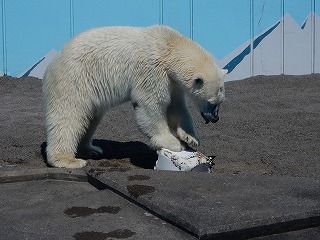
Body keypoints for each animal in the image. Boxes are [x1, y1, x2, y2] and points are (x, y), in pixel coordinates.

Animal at [43, 25, 228, 168]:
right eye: (211, 102)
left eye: (220, 101)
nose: (215, 118)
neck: (168, 46)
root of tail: (53, 63)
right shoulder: (151, 69)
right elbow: (151, 104)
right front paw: (173, 143)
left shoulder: (173, 81)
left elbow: (176, 106)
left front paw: (191, 138)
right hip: (75, 80)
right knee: (69, 116)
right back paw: (67, 160)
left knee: (90, 118)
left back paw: (91, 149)